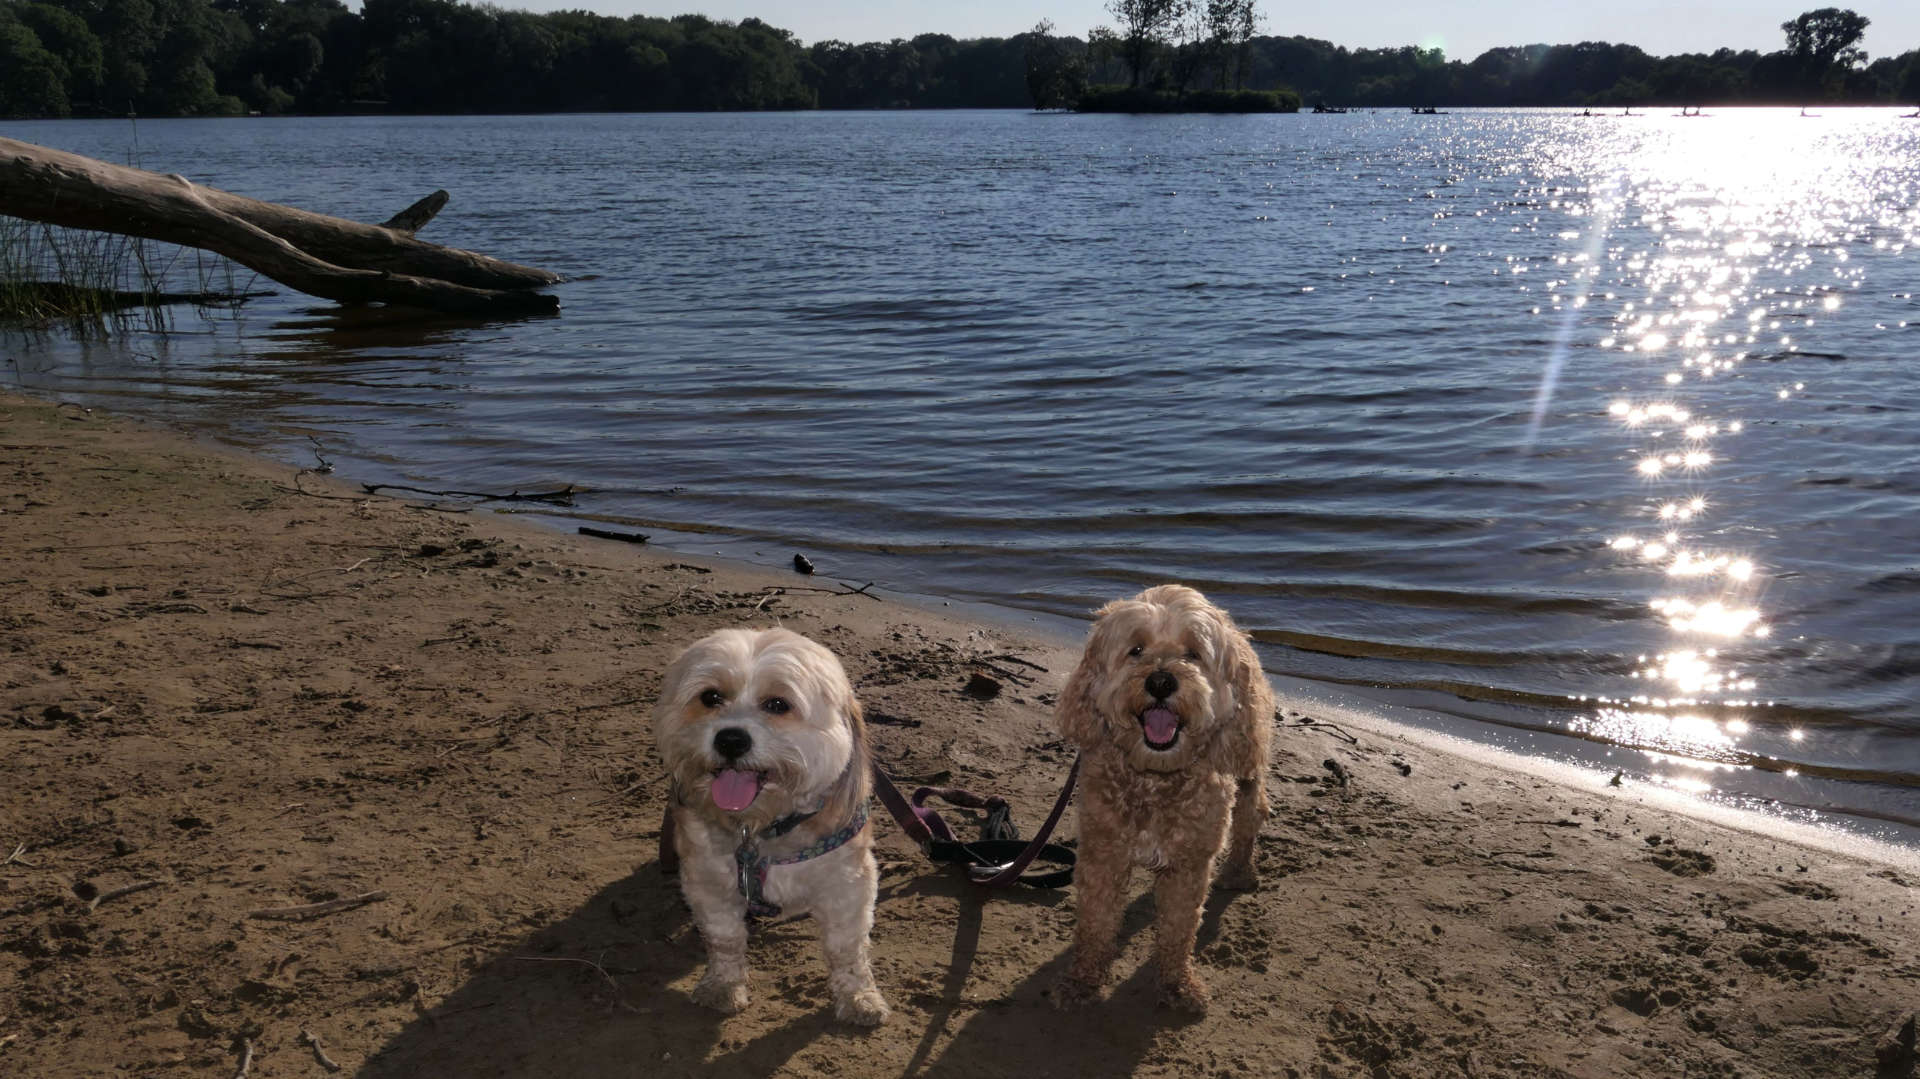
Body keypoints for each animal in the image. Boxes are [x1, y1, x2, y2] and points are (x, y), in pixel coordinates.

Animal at [645, 629, 883, 1021]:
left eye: (777, 704)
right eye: (710, 697)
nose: (730, 739)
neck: (762, 828)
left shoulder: (847, 886)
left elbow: (846, 949)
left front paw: (858, 997)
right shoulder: (708, 883)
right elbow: (725, 939)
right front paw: (723, 985)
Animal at [1052, 579, 1274, 1006]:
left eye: (1193, 653)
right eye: (1136, 649)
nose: (1160, 681)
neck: (1155, 779)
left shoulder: (1189, 865)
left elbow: (1178, 929)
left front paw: (1177, 983)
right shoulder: (1103, 853)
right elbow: (1096, 922)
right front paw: (1083, 980)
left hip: (1248, 767)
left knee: (1250, 817)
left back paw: (1240, 870)